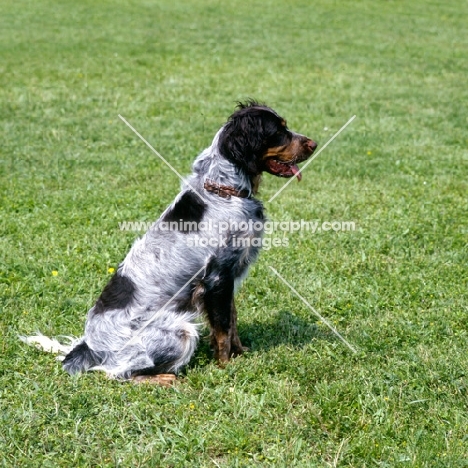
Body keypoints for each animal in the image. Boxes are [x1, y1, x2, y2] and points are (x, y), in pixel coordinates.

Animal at [22, 101, 316, 384]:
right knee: (117, 374)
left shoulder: (228, 278)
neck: (224, 190)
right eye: (279, 131)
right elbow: (223, 329)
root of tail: (88, 347)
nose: (313, 144)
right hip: (180, 330)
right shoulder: (217, 277)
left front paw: (241, 354)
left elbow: (231, 321)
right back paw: (166, 379)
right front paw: (226, 366)